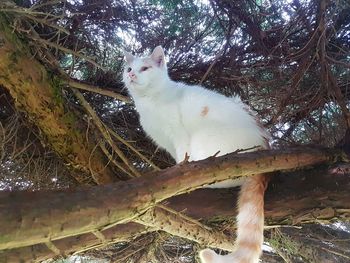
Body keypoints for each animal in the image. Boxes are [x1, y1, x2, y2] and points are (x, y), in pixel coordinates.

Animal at [123, 46, 270, 262]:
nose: (132, 74)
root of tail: (263, 149)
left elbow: (182, 158)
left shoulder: (179, 135)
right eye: (128, 68)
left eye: (145, 68)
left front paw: (179, 175)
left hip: (205, 140)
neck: (149, 102)